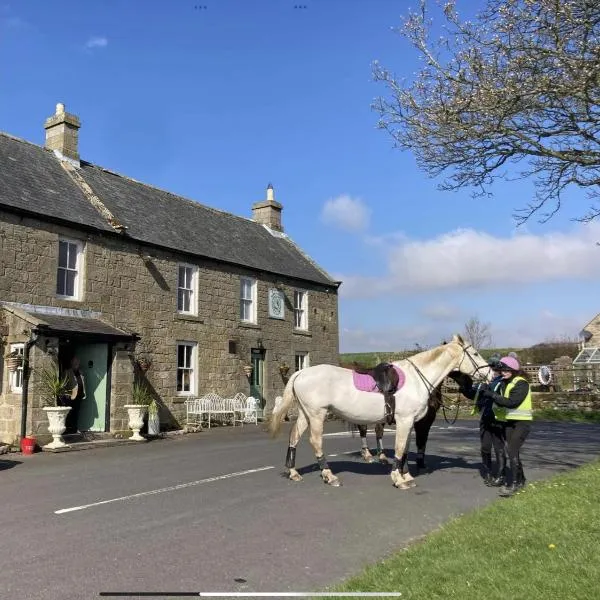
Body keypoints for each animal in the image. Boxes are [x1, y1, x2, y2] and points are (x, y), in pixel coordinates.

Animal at [270, 336, 490, 490]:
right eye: (475, 354)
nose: (491, 373)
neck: (416, 379)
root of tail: (300, 372)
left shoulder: (409, 423)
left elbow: (405, 450)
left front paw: (407, 476)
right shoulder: (404, 421)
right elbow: (400, 449)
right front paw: (398, 479)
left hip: (305, 414)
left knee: (294, 437)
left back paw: (293, 472)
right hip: (317, 415)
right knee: (315, 442)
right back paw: (329, 476)